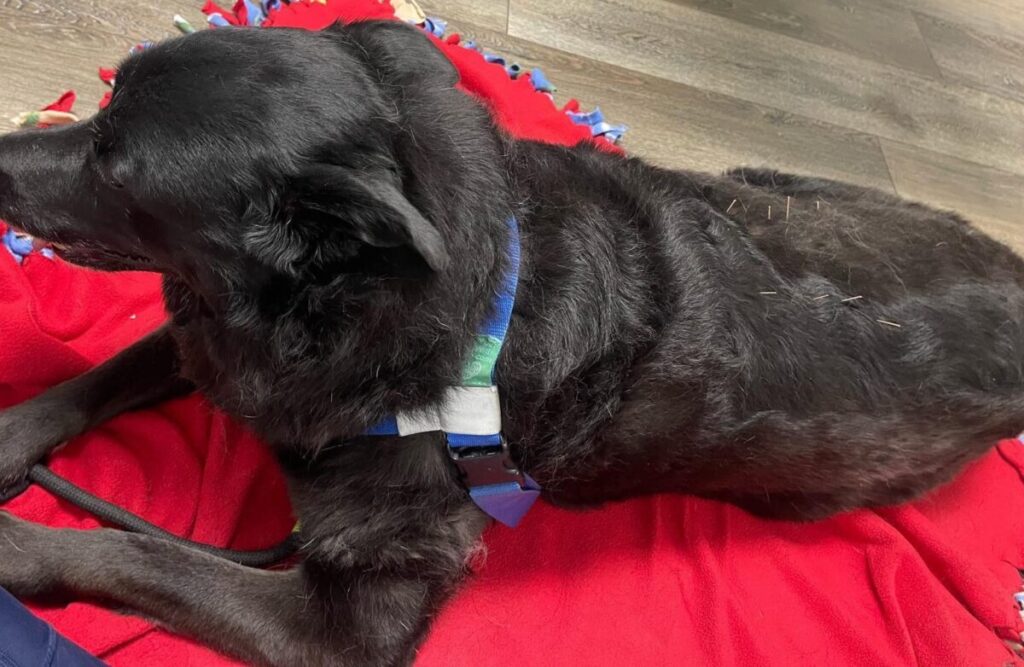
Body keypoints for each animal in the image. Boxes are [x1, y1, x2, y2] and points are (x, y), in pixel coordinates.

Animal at [2, 20, 1024, 667]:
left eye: (113, 165)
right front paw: (13, 437)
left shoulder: (347, 626)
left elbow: (139, 556)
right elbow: (105, 375)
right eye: (104, 102)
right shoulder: (220, 341)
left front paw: (13, 545)